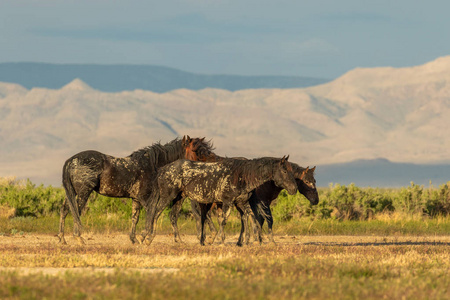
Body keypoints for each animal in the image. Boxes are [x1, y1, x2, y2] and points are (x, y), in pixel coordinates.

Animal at [57, 135, 216, 245]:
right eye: (196, 150)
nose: (209, 166)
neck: (153, 165)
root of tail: (71, 160)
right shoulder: (147, 198)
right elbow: (151, 215)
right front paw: (145, 236)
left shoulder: (136, 199)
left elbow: (135, 217)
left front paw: (134, 239)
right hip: (83, 193)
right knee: (76, 211)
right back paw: (78, 238)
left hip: (72, 193)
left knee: (65, 210)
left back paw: (62, 238)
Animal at [139, 156, 298, 245]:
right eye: (284, 171)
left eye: (291, 170)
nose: (294, 189)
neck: (241, 175)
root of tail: (163, 169)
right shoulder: (227, 202)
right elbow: (224, 221)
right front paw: (219, 241)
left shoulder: (241, 203)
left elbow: (250, 217)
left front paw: (256, 240)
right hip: (168, 196)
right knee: (155, 213)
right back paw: (148, 238)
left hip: (179, 197)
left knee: (172, 216)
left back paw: (178, 240)